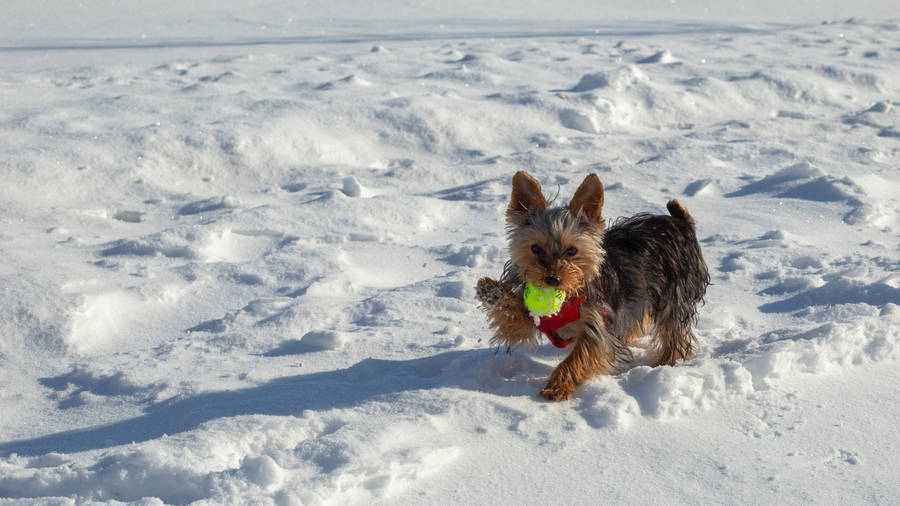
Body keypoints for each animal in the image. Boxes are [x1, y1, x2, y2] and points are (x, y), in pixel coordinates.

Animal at [478, 172, 712, 402]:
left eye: (572, 251)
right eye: (535, 249)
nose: (552, 279)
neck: (568, 298)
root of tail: (679, 222)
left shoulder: (596, 325)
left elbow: (581, 354)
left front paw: (557, 387)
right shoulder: (533, 317)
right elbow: (515, 322)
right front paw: (492, 291)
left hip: (676, 290)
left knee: (674, 329)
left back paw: (665, 363)